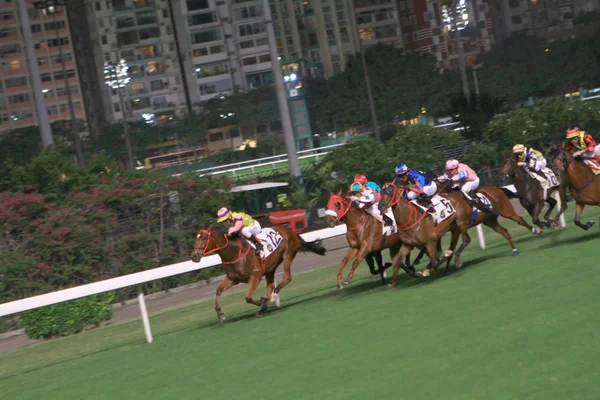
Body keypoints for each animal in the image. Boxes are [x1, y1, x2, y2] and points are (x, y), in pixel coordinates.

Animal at [191, 225, 324, 322]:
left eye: (204, 238)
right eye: (196, 238)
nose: (194, 256)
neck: (235, 251)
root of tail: (291, 231)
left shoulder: (255, 276)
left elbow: (248, 297)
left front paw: (261, 301)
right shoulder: (233, 278)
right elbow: (218, 290)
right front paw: (220, 313)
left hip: (288, 255)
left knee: (287, 277)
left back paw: (273, 296)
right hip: (271, 267)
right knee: (271, 284)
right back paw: (265, 305)